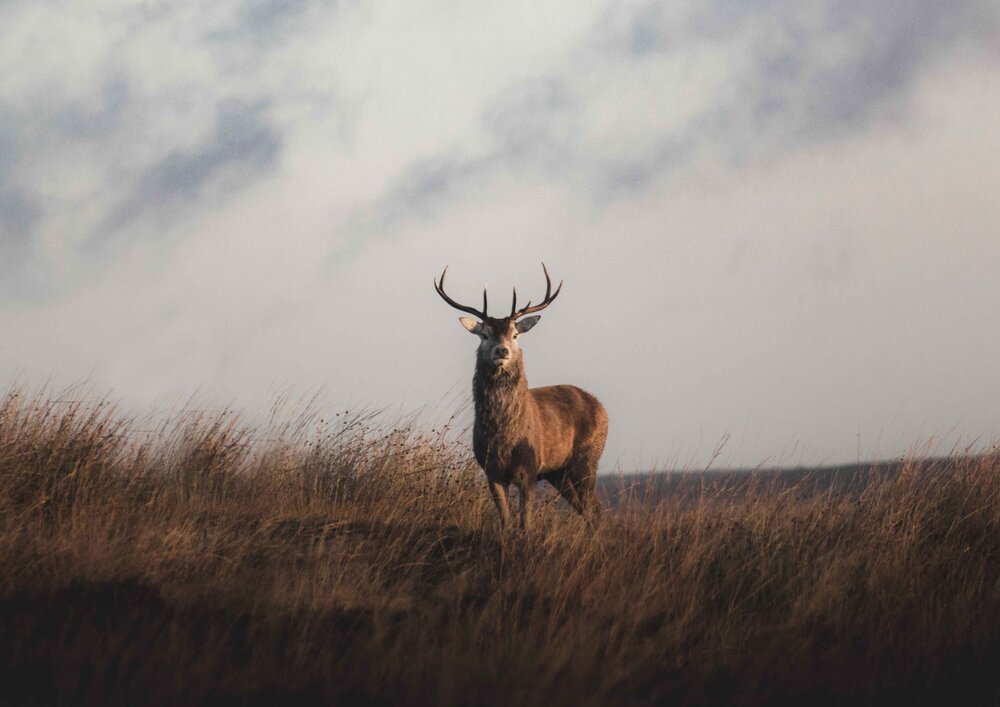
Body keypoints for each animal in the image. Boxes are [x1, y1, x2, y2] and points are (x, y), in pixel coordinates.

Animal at [432, 262, 604, 528]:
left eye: (515, 334)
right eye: (484, 334)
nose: (501, 350)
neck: (504, 439)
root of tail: (601, 407)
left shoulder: (530, 470)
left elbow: (525, 523)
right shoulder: (491, 472)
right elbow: (505, 521)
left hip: (588, 457)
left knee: (594, 509)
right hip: (559, 472)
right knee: (587, 509)